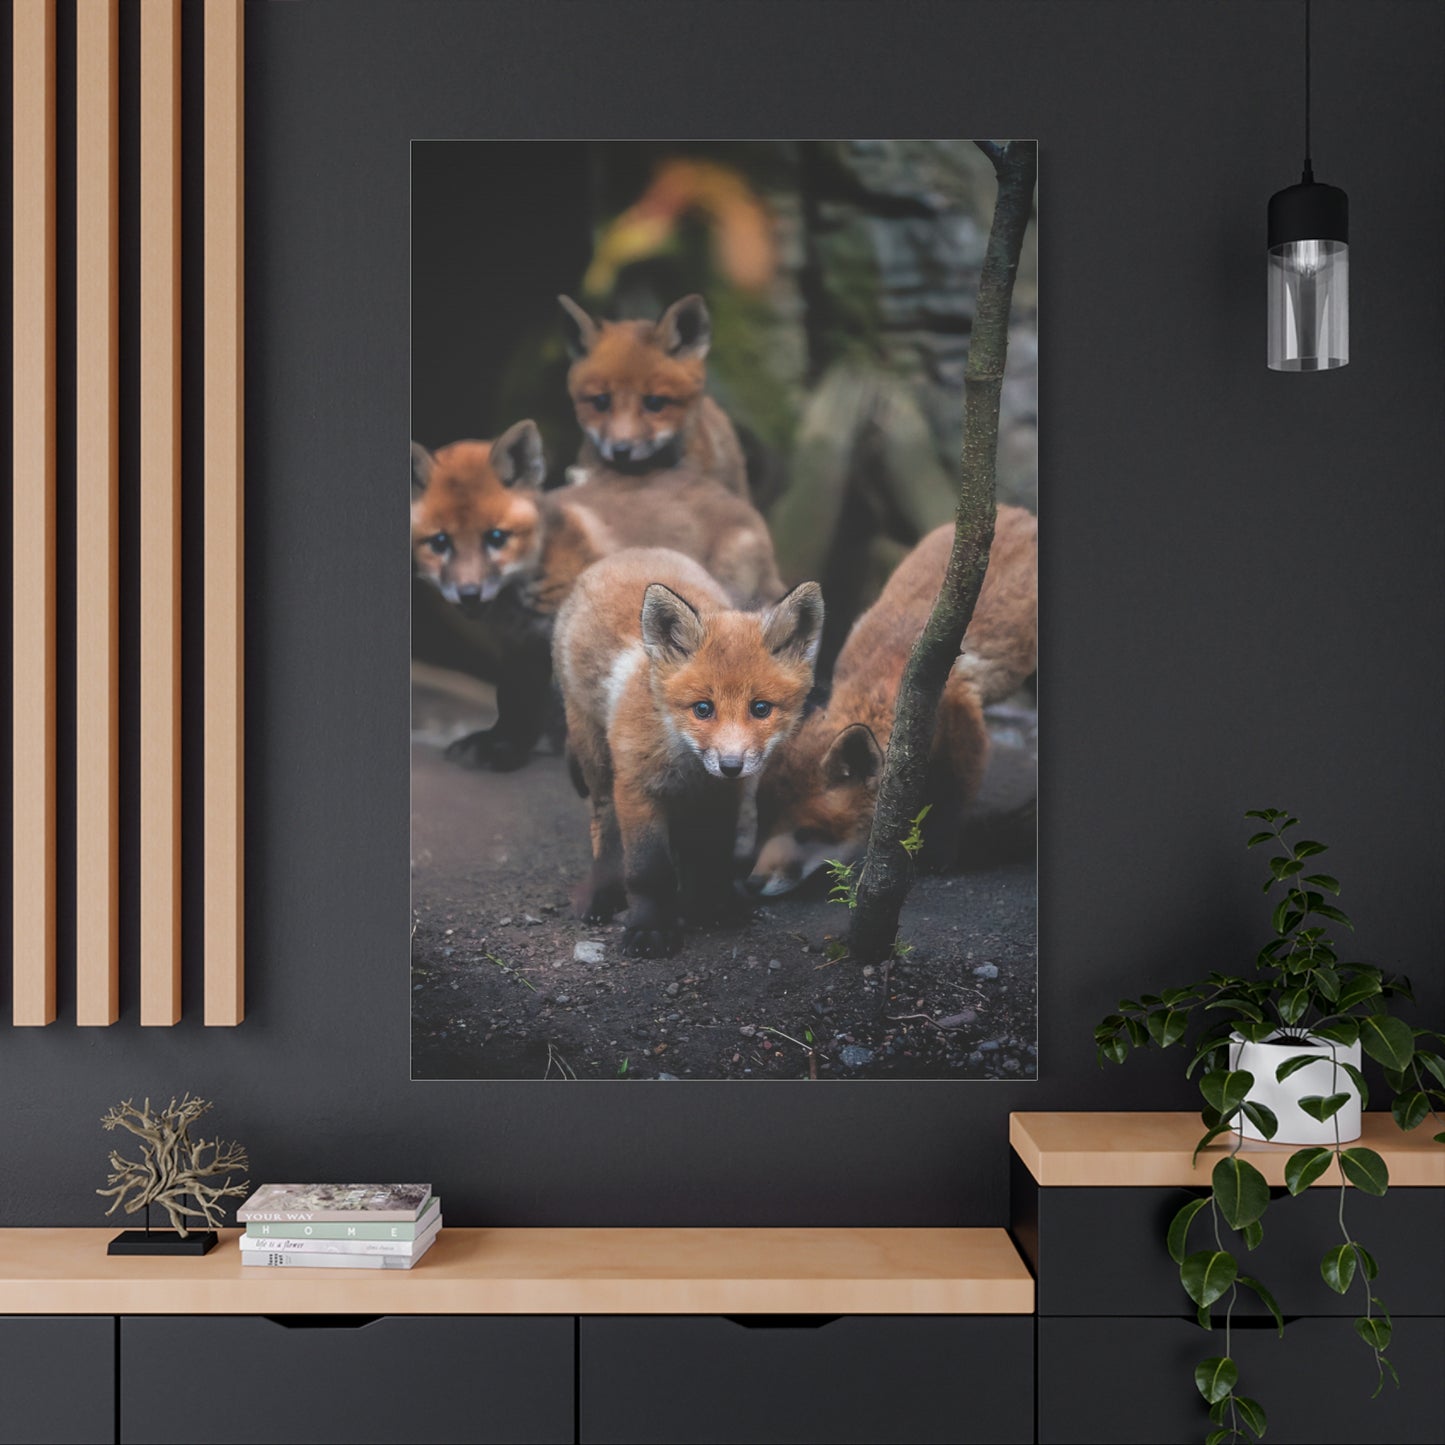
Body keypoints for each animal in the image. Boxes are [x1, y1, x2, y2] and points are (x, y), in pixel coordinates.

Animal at [411, 420, 782, 771]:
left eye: (496, 538)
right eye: (440, 543)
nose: (469, 594)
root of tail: (740, 504)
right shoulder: (520, 643)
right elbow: (514, 698)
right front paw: (503, 745)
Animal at [553, 548, 824, 957]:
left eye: (760, 709)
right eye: (703, 709)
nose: (731, 765)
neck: (689, 765)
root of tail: (632, 552)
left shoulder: (721, 797)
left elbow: (711, 857)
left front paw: (710, 907)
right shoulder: (637, 787)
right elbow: (648, 871)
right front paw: (650, 928)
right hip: (596, 760)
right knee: (604, 826)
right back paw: (602, 894)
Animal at [747, 506, 1038, 896]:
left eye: (806, 834)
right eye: (764, 823)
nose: (752, 884)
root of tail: (1018, 512)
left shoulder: (962, 718)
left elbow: (952, 798)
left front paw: (936, 856)